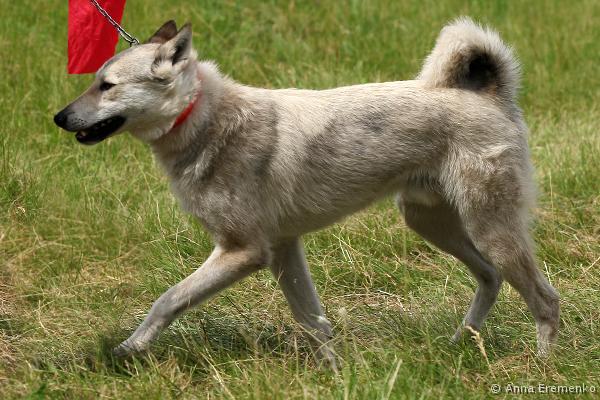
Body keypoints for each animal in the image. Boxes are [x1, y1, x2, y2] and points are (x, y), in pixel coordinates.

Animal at [54, 17, 559, 368]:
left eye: (106, 86)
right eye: (94, 80)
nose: (58, 117)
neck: (206, 119)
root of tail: (490, 94)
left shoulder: (244, 251)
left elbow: (168, 299)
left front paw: (128, 349)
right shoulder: (283, 249)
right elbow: (313, 322)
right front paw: (334, 372)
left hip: (489, 230)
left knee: (545, 299)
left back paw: (541, 366)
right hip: (433, 224)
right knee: (490, 279)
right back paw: (461, 343)